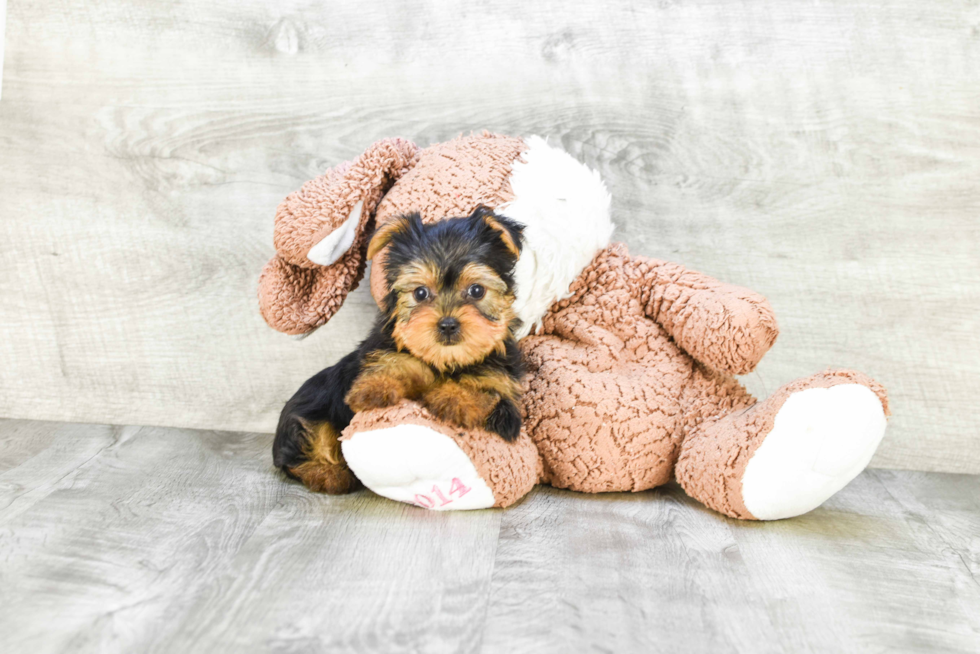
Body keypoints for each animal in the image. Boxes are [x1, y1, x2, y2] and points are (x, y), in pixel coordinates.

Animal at [272, 208, 524, 494]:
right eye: (420, 293)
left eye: (477, 290)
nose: (448, 324)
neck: (446, 360)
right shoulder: (385, 350)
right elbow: (402, 364)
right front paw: (374, 389)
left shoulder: (505, 399)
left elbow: (484, 390)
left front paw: (455, 399)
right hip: (308, 415)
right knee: (302, 451)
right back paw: (327, 473)